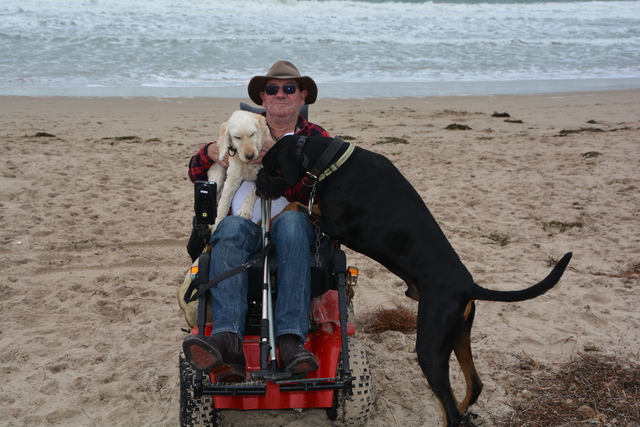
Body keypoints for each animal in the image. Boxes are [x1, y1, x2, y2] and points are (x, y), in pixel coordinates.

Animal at [257, 135, 572, 427]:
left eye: (267, 168)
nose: (257, 185)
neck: (332, 161)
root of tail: (468, 286)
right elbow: (300, 202)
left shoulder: (334, 226)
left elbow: (296, 204)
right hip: (458, 335)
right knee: (473, 387)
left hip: (430, 347)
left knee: (450, 409)